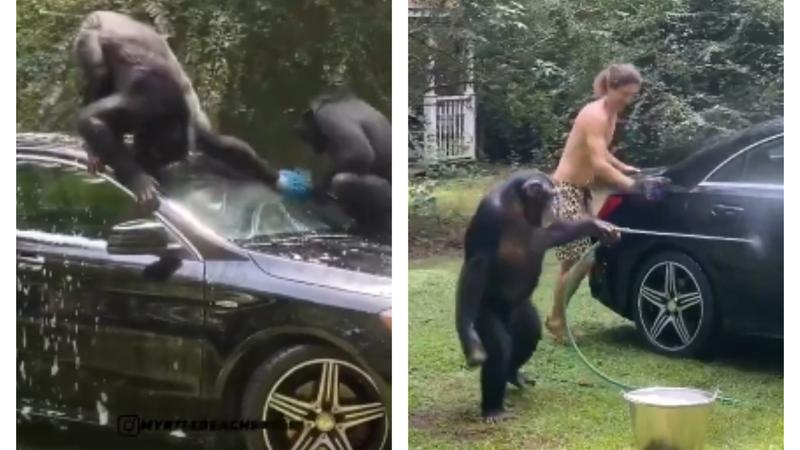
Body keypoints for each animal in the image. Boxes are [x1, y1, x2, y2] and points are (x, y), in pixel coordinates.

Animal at [74, 10, 282, 211]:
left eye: (159, 158)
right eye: (155, 153)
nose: (148, 164)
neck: (169, 117)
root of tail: (103, 13)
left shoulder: (197, 132)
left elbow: (226, 147)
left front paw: (274, 177)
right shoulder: (146, 103)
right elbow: (92, 118)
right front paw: (140, 181)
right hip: (88, 35)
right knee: (99, 71)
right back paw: (93, 150)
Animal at [296, 89, 392, 234]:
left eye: (307, 136)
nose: (314, 149)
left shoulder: (330, 118)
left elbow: (360, 153)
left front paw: (320, 187)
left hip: (385, 197)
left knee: (342, 180)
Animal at [456, 171, 620, 424]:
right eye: (550, 194)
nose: (555, 204)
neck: (517, 205)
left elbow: (554, 231)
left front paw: (598, 226)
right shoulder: (488, 217)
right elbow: (475, 268)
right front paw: (470, 342)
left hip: (521, 310)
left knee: (528, 334)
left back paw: (513, 374)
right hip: (486, 312)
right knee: (501, 347)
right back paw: (493, 408)